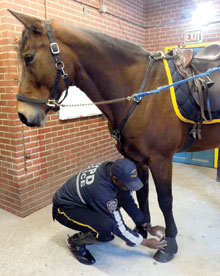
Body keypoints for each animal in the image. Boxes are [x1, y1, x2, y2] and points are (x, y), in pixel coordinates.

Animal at [9, 10, 220, 264]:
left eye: (28, 57)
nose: (23, 115)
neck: (141, 91)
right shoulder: (137, 159)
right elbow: (141, 194)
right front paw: (142, 230)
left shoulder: (161, 160)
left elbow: (165, 200)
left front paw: (169, 245)